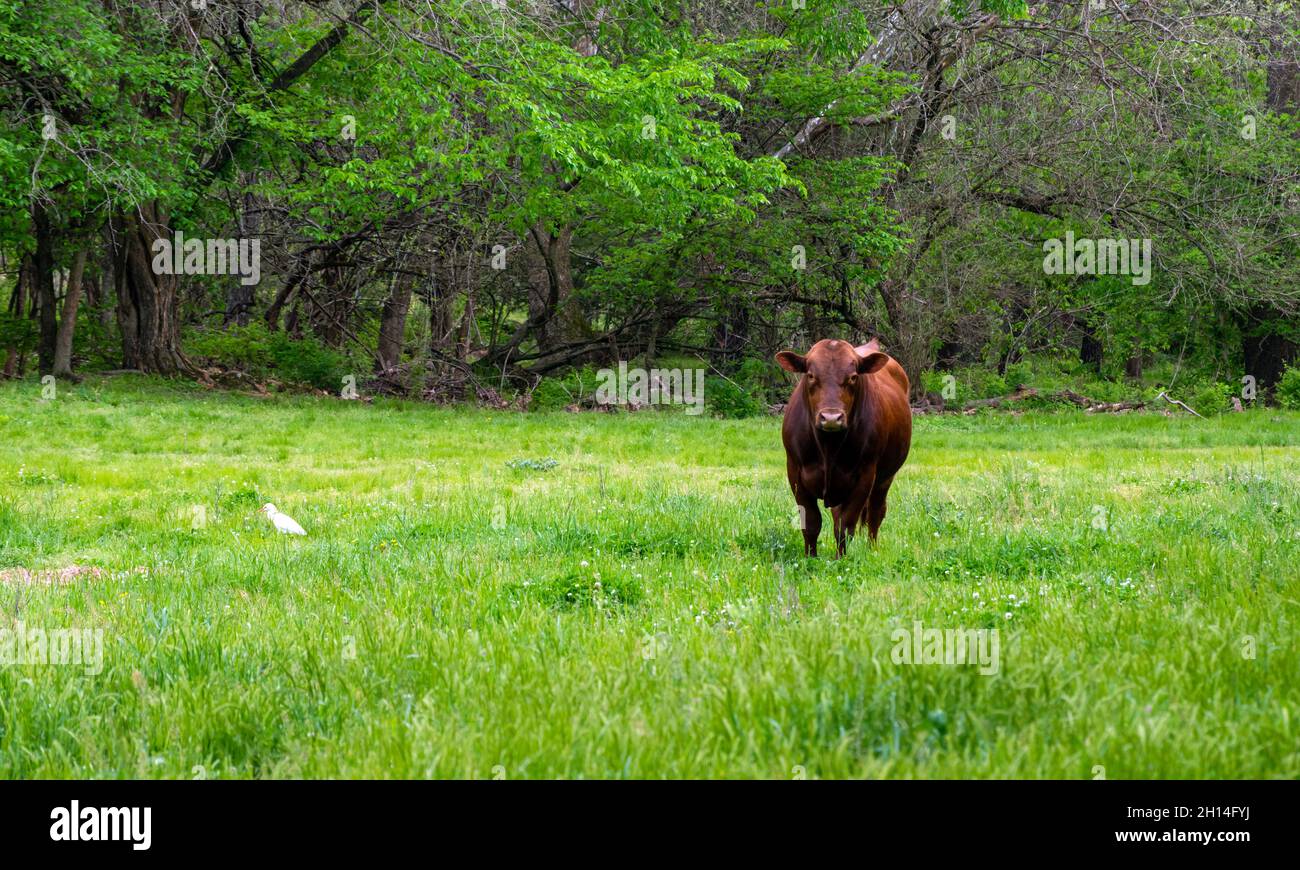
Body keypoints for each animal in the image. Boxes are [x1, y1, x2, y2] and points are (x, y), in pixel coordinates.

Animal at [774, 335, 909, 553]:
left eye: (853, 377)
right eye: (810, 375)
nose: (831, 418)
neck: (828, 447)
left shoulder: (865, 476)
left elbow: (846, 526)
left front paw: (841, 559)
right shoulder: (795, 472)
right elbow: (811, 523)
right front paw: (810, 557)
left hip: (885, 478)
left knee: (875, 512)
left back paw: (872, 549)